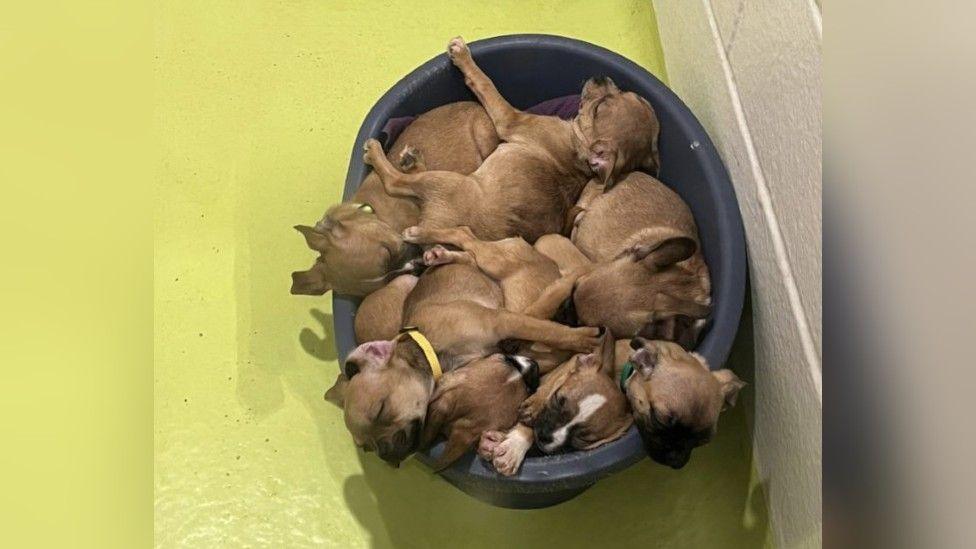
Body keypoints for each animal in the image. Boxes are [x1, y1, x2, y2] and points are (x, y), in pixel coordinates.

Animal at [324, 262, 600, 466]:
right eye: (367, 449)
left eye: (381, 408)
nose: (390, 458)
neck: (432, 350)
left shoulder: (501, 322)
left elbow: (547, 329)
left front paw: (581, 339)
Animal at [360, 37, 664, 243]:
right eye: (633, 96)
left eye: (601, 108)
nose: (601, 75)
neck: (578, 149)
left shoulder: (509, 118)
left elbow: (484, 83)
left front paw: (463, 57)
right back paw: (413, 161)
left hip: (448, 182)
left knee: (396, 181)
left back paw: (377, 153)